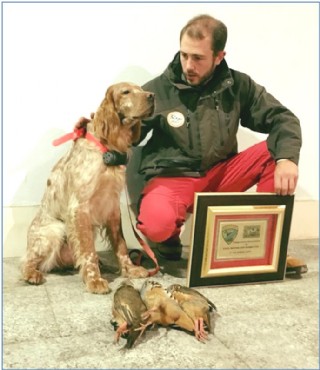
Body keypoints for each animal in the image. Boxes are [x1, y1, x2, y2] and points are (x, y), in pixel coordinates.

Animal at [21, 82, 155, 294]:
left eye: (141, 89)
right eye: (126, 92)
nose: (152, 96)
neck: (107, 147)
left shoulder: (112, 207)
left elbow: (121, 245)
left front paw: (130, 269)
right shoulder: (80, 208)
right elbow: (89, 252)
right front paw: (95, 280)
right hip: (56, 229)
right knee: (27, 261)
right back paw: (32, 274)